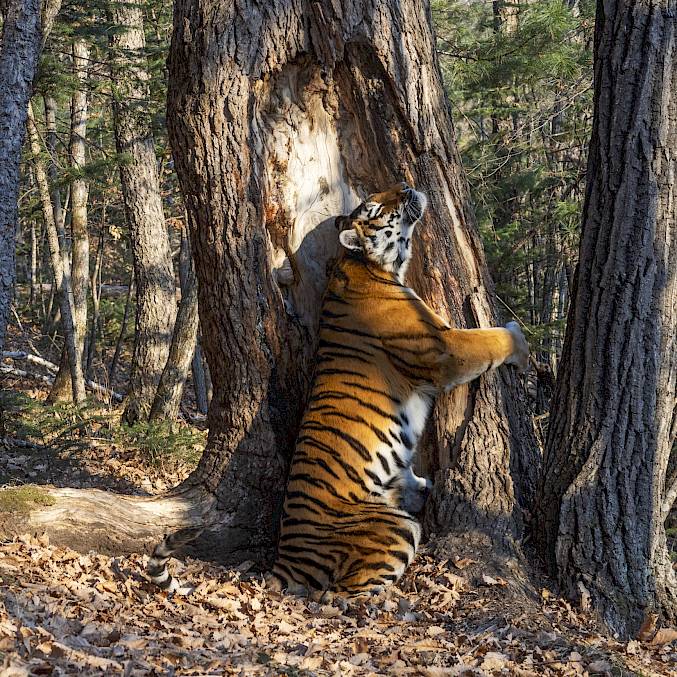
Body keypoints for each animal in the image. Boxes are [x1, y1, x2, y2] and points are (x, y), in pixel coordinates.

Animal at [147, 181, 528, 596]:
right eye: (377, 208)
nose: (406, 185)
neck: (368, 265)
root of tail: (283, 563)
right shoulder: (443, 348)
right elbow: (488, 339)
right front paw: (521, 341)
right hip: (396, 528)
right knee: (347, 593)